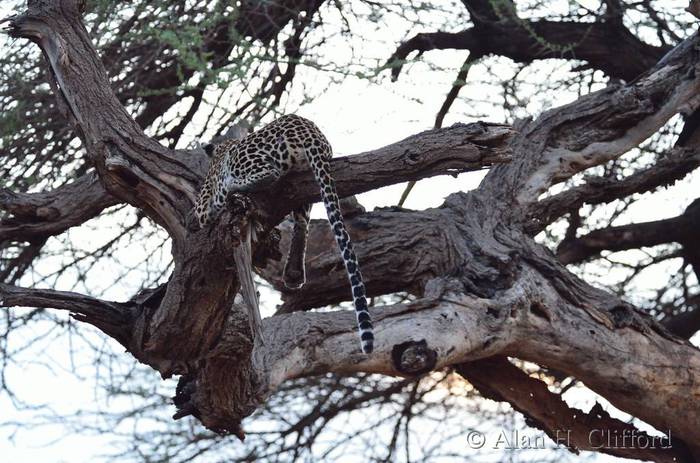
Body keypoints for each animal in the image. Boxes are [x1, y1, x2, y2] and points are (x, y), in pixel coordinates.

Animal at [194, 115, 374, 354]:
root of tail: (310, 131)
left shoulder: (202, 208)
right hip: (304, 176)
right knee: (302, 220)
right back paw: (294, 273)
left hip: (248, 157)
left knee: (270, 174)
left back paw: (233, 188)